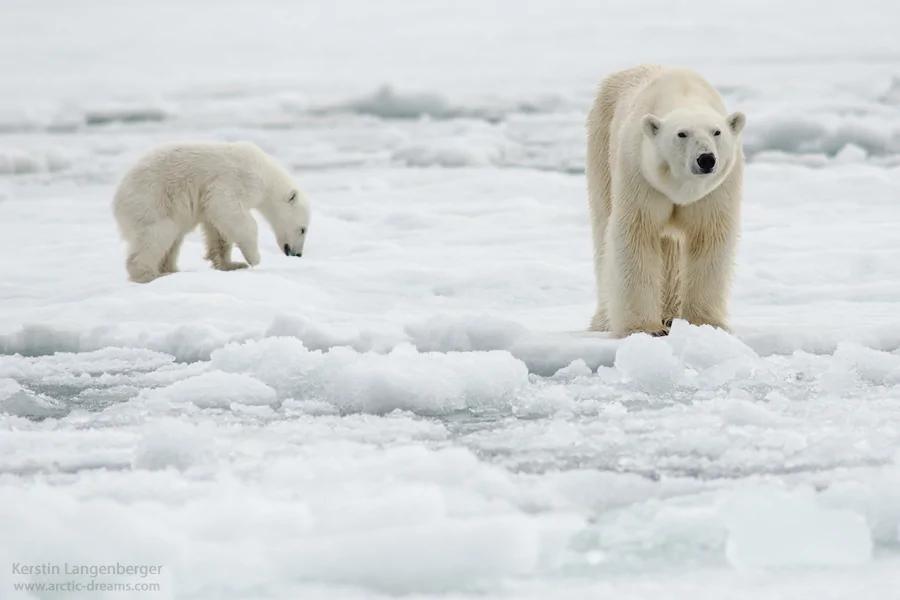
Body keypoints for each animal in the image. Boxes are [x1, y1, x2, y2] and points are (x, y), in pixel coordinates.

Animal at [113, 141, 310, 283]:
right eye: (303, 229)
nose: (298, 254)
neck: (265, 172)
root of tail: (117, 198)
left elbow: (217, 228)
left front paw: (231, 264)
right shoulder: (237, 179)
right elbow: (225, 207)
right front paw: (253, 258)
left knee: (174, 240)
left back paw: (171, 269)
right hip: (152, 201)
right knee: (157, 234)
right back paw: (150, 274)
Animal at [586, 65, 746, 337]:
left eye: (717, 131)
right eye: (682, 134)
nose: (706, 159)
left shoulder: (716, 189)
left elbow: (708, 236)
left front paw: (705, 323)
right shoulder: (640, 174)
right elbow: (637, 233)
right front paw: (644, 328)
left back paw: (670, 316)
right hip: (601, 144)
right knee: (603, 227)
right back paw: (604, 320)